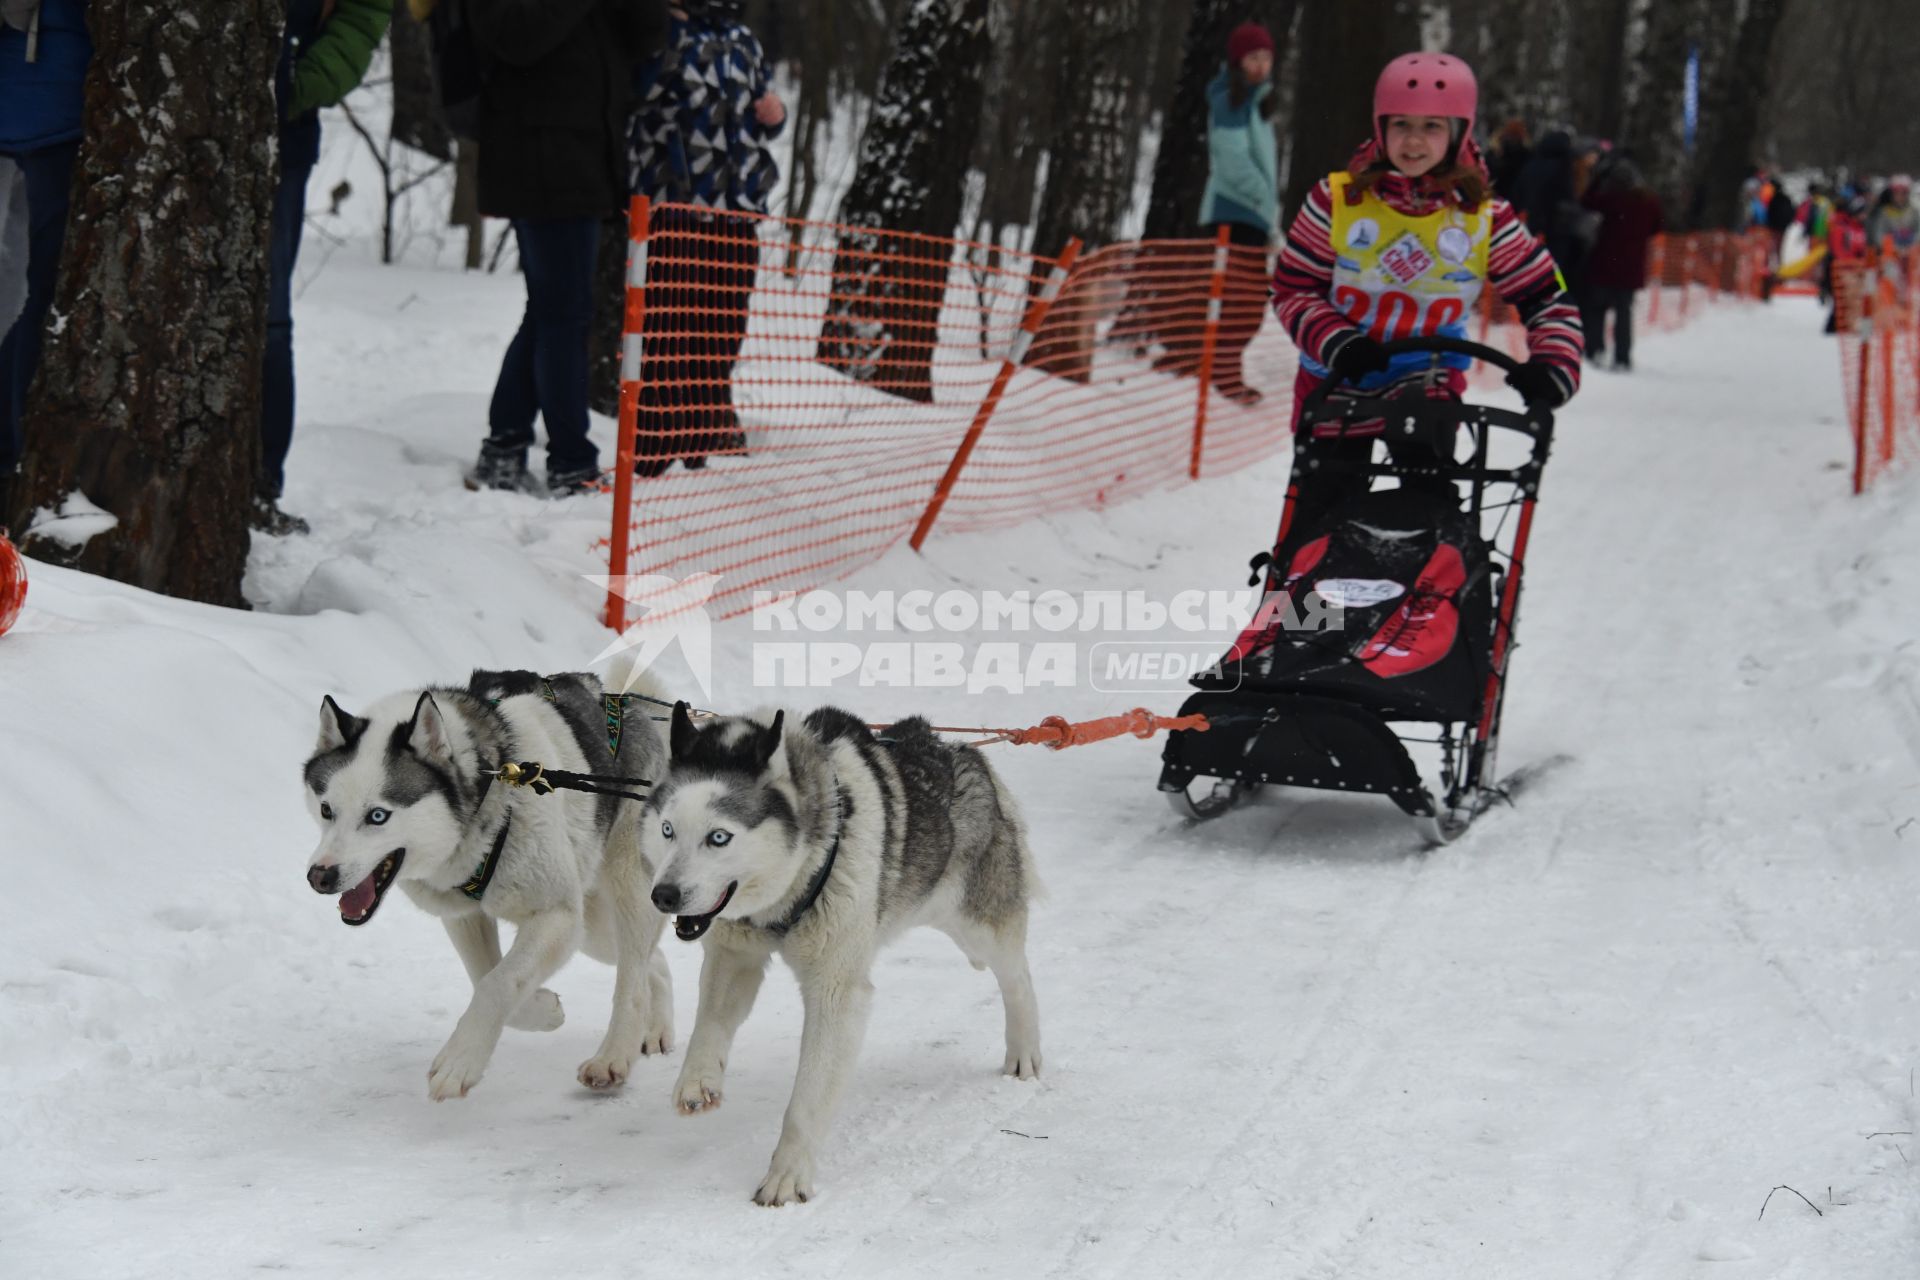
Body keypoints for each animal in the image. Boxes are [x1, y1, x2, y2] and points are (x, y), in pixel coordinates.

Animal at [303, 671, 679, 1105]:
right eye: (326, 809)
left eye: (377, 815)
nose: (319, 876)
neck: (491, 787)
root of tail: (630, 704)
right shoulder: (466, 916)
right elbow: (486, 974)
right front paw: (543, 1009)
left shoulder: (556, 916)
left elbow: (499, 982)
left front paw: (459, 1061)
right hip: (593, 930)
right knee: (654, 961)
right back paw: (657, 1029)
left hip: (621, 892)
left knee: (633, 981)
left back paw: (613, 1057)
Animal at [645, 706, 1044, 1205]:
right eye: (667, 830)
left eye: (718, 837)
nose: (663, 895)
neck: (790, 890)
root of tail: (962, 751)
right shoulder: (735, 955)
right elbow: (711, 1024)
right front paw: (699, 1079)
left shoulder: (836, 992)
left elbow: (806, 1100)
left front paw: (787, 1175)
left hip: (979, 926)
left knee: (1018, 977)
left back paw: (1024, 1051)